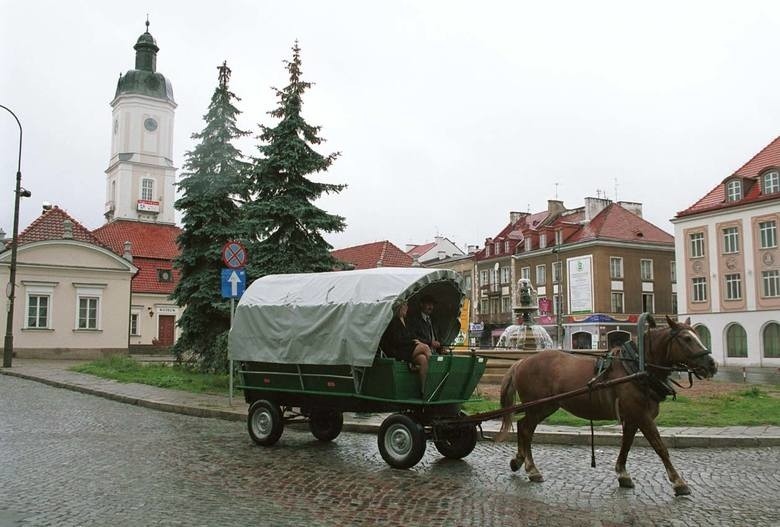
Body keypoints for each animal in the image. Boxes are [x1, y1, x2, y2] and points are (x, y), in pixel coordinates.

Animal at [500, 316, 720, 498]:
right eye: (686, 338)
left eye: (696, 335)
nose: (712, 364)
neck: (636, 368)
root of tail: (521, 361)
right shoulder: (642, 416)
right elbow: (660, 447)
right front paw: (679, 482)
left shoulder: (632, 417)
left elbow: (626, 444)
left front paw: (623, 474)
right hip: (539, 406)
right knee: (526, 429)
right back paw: (531, 469)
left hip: (545, 406)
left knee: (522, 426)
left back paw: (518, 461)